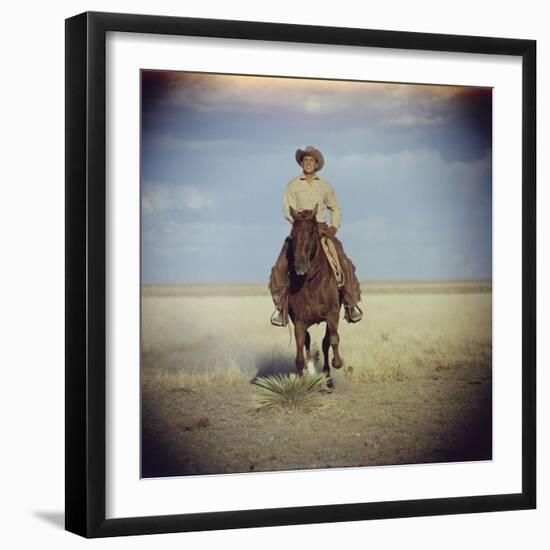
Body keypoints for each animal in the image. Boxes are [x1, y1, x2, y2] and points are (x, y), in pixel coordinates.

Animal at [288, 205, 344, 390]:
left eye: (312, 232)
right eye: (292, 234)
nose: (300, 265)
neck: (312, 282)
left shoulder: (332, 315)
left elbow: (332, 340)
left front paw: (337, 363)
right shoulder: (299, 321)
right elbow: (299, 355)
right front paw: (299, 381)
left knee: (326, 342)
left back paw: (328, 377)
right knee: (307, 340)